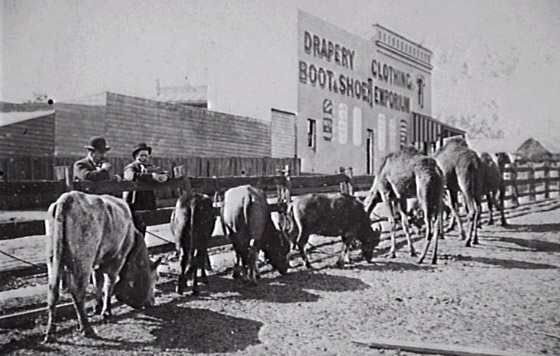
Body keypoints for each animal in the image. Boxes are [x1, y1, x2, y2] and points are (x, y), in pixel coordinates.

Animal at [43, 191, 161, 344]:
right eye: (155, 278)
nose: (152, 302)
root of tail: (68, 197)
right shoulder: (118, 257)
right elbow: (109, 284)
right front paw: (106, 312)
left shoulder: (97, 262)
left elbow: (97, 282)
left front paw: (97, 307)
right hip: (83, 258)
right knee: (77, 291)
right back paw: (87, 328)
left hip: (52, 258)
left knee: (53, 290)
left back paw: (50, 332)